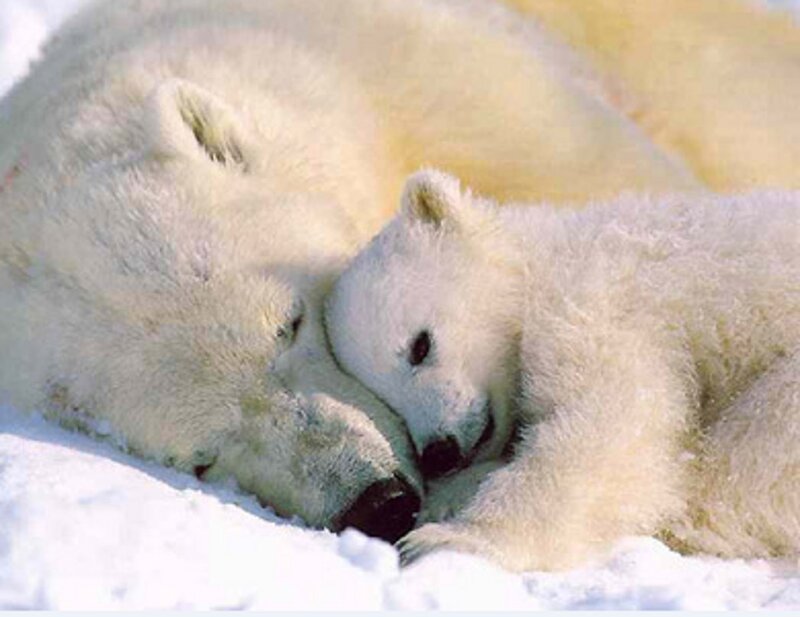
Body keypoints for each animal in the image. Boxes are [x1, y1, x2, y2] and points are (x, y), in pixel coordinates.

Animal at [325, 169, 800, 571]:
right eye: (386, 399)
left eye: (419, 346)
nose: (439, 452)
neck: (546, 258)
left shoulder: (594, 302)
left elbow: (608, 425)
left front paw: (447, 539)